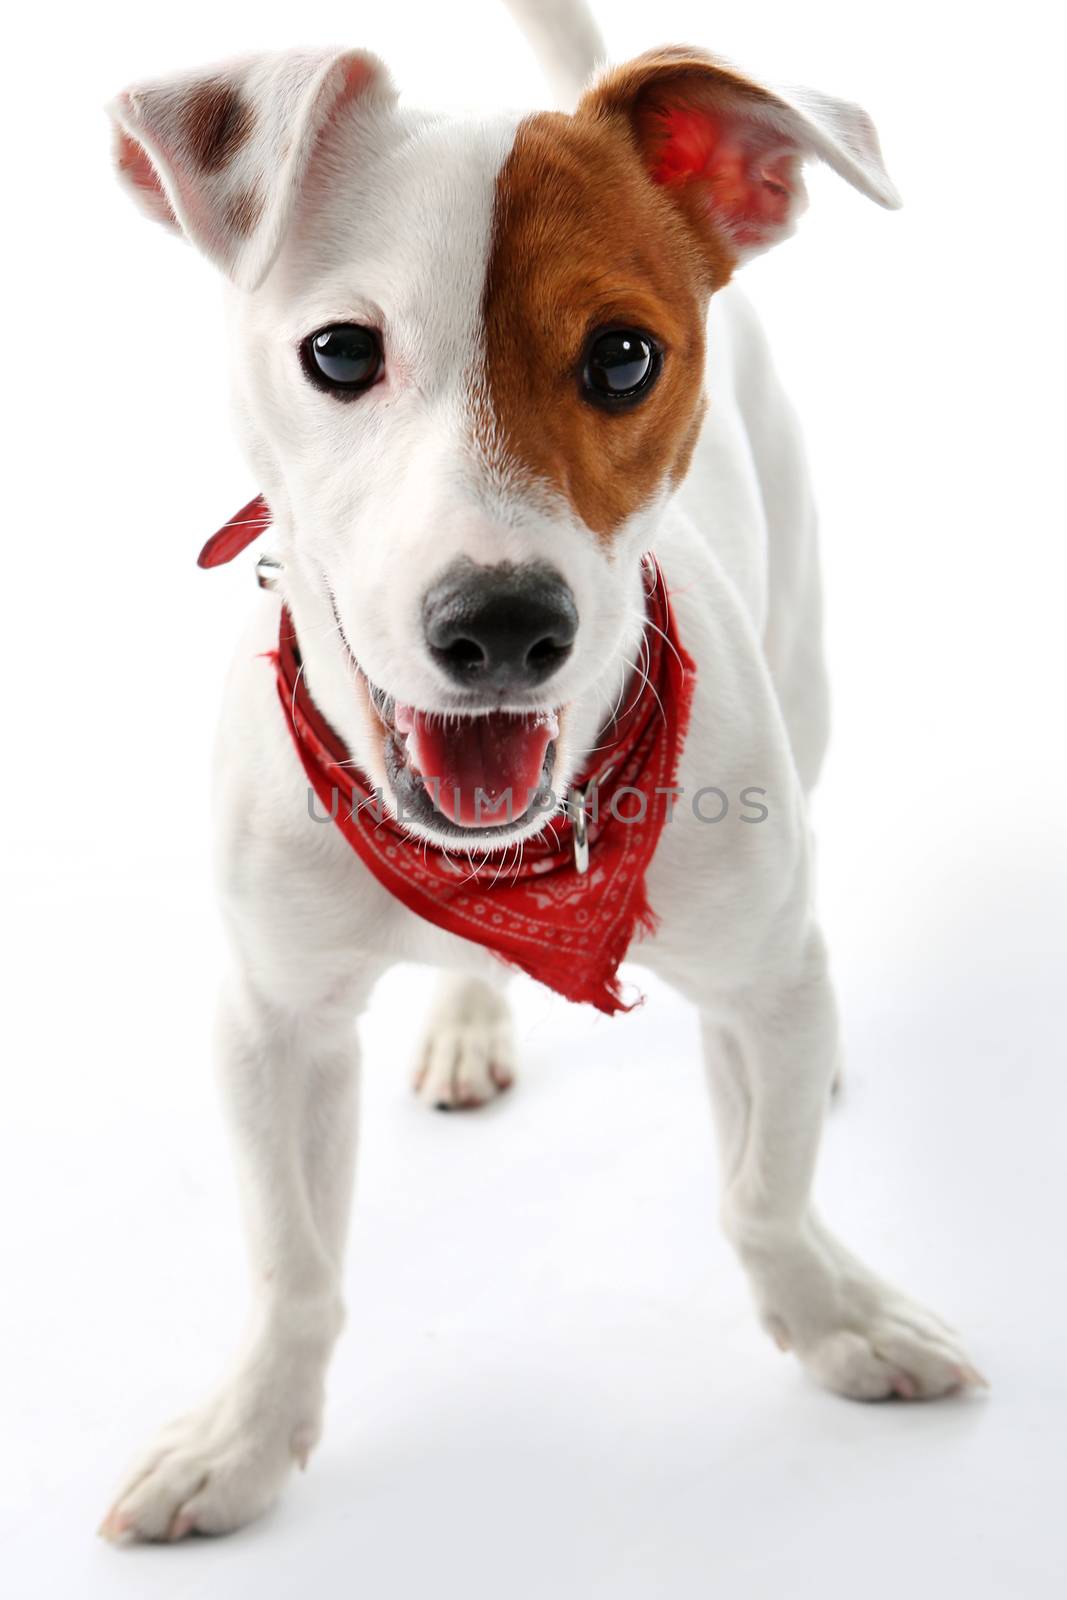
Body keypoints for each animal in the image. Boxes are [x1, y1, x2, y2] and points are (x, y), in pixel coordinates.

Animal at [99, 0, 985, 1542]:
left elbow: (759, 1191)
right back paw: (467, 1016)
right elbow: (291, 1267)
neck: (505, 867)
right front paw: (245, 1441)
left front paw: (834, 1321)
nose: (503, 624)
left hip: (806, 675)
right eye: (340, 353)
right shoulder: (272, 1025)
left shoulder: (763, 973)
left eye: (623, 356)